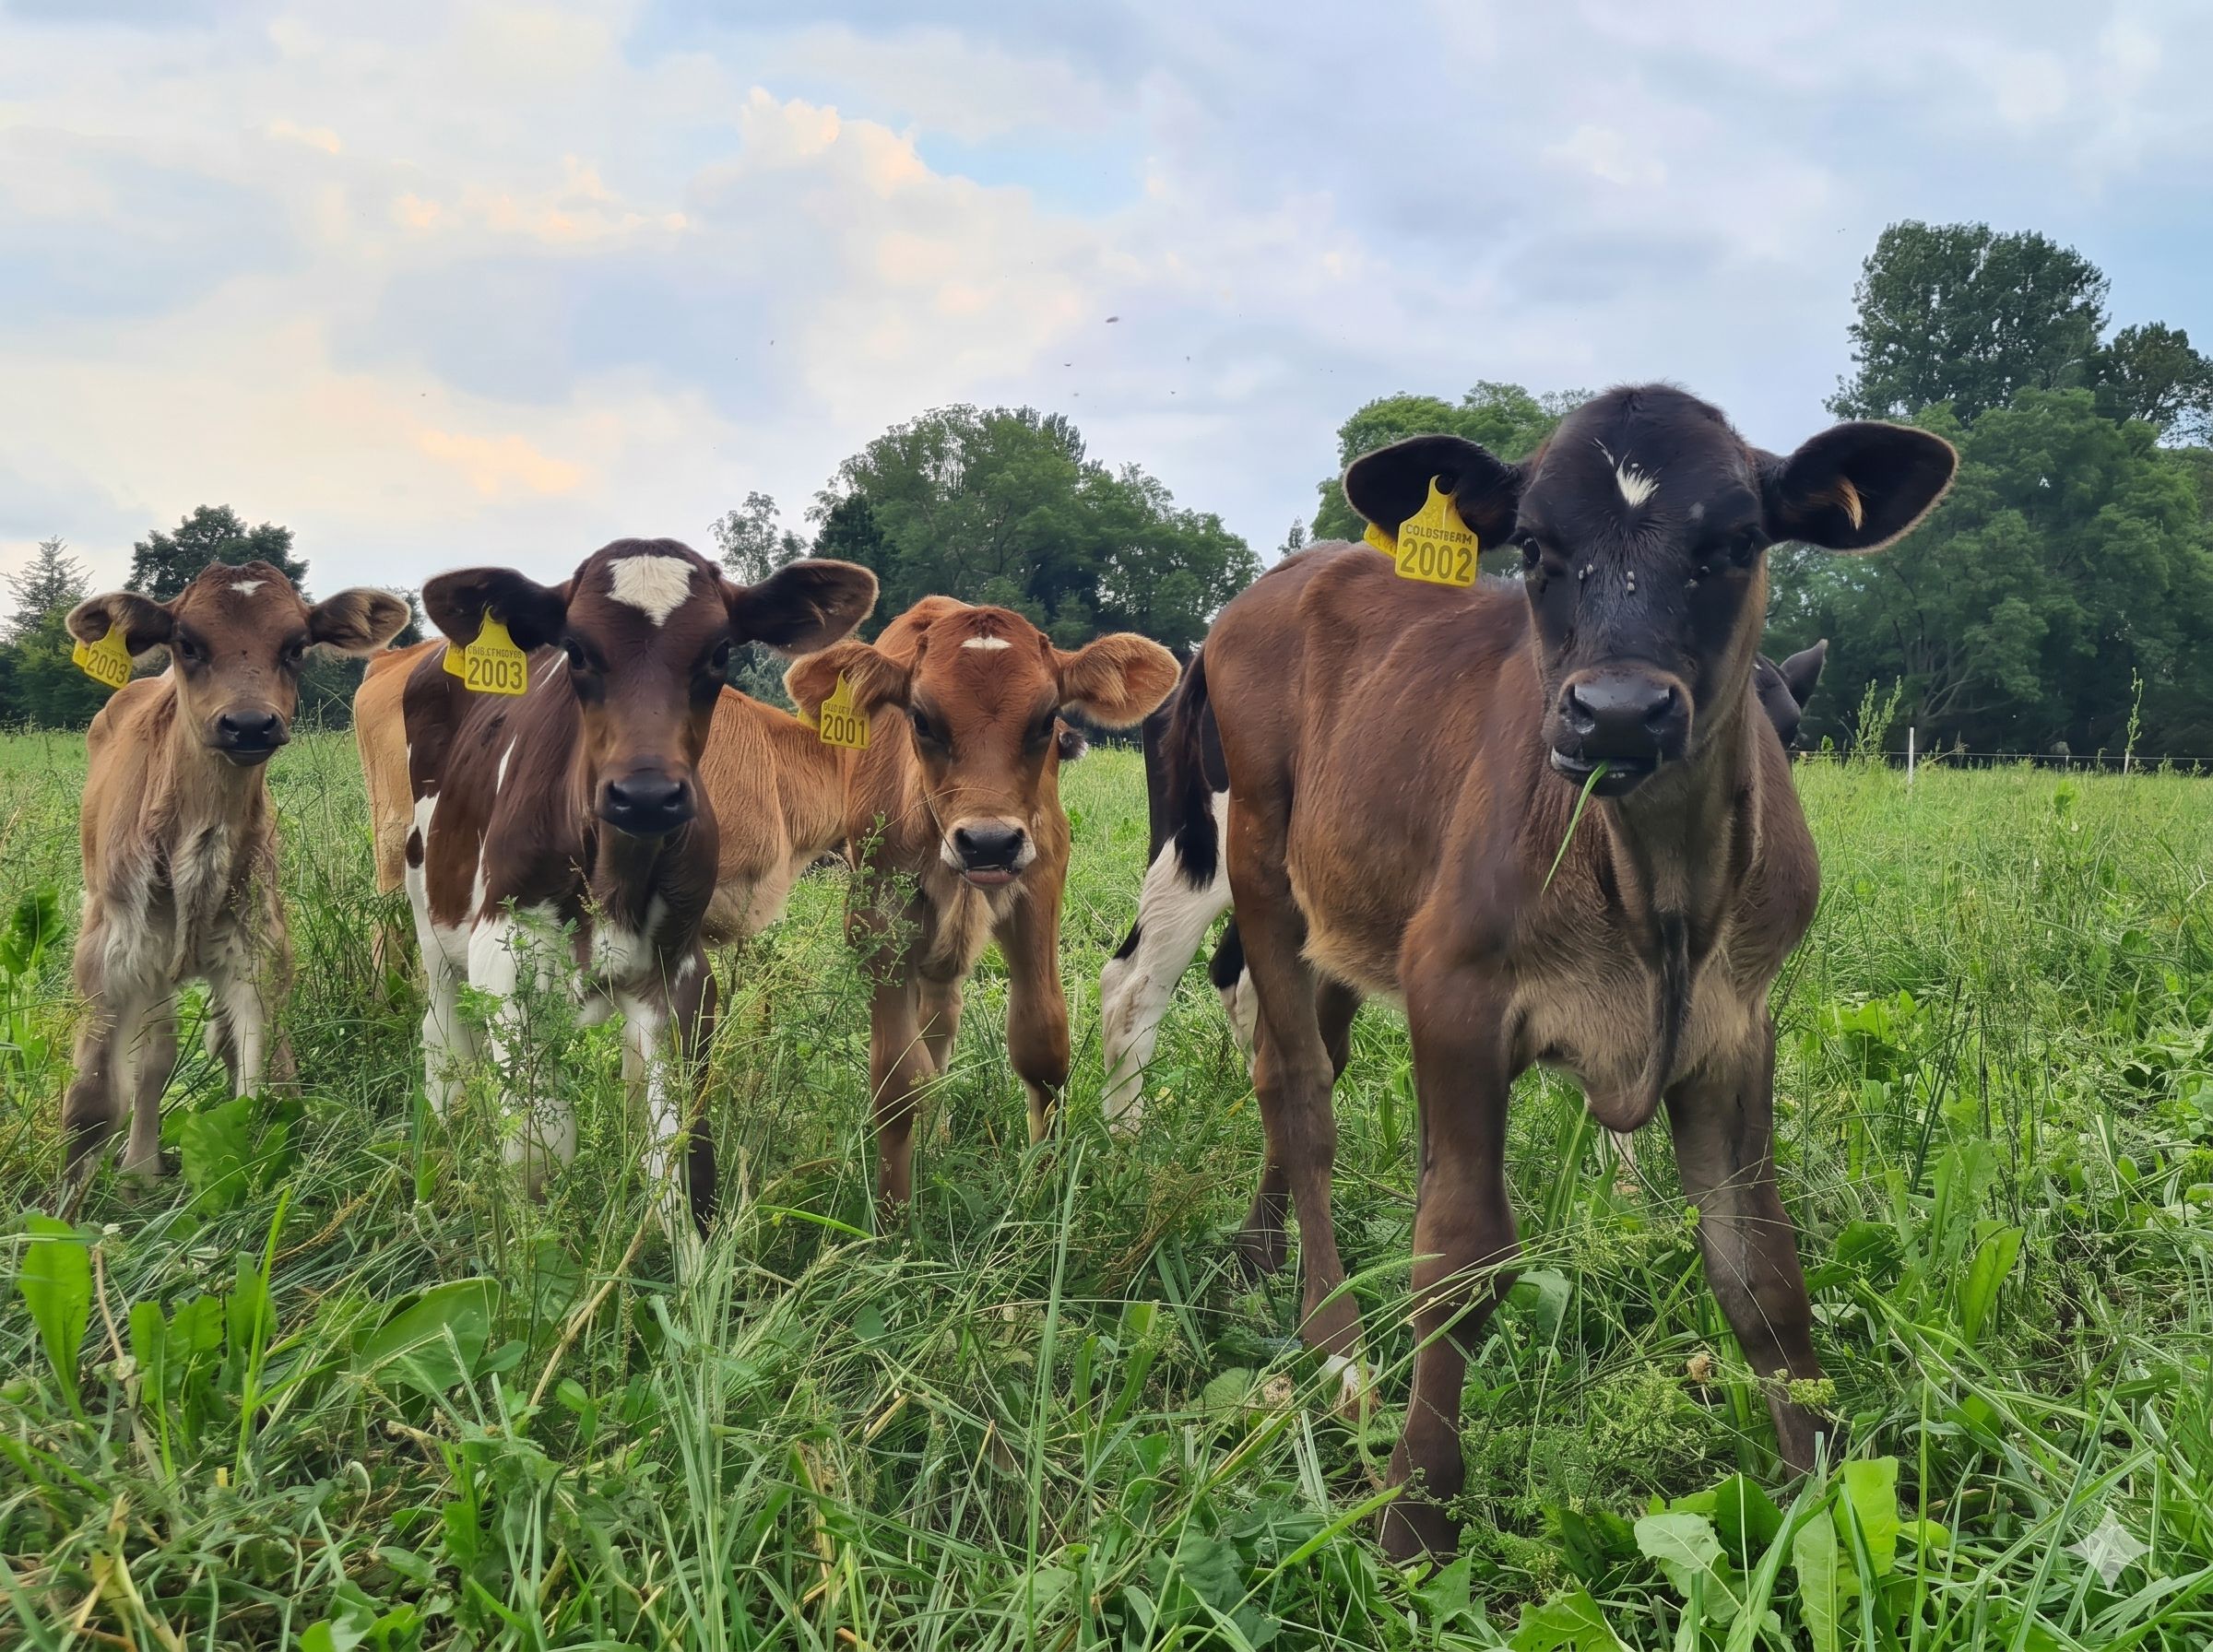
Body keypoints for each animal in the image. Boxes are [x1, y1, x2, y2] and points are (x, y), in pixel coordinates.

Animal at [60, 562, 410, 1182]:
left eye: (295, 646)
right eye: (187, 643)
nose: (248, 724)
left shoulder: (260, 946)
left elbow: (264, 1086)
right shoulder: (111, 946)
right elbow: (92, 1105)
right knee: (154, 1051)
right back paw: (140, 1167)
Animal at [398, 540, 877, 1238]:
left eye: (720, 651)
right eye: (576, 649)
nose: (646, 794)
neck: (614, 878)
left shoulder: (681, 971)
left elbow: (683, 1166)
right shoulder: (507, 958)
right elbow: (538, 1151)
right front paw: (536, 1249)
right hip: (430, 918)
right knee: (445, 1044)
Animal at [782, 597, 1179, 1221]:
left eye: (1047, 721)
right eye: (921, 719)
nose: (989, 843)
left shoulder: (1039, 885)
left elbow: (1042, 1044)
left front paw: (1042, 1191)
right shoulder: (874, 916)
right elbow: (897, 1080)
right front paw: (895, 1219)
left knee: (941, 1019)